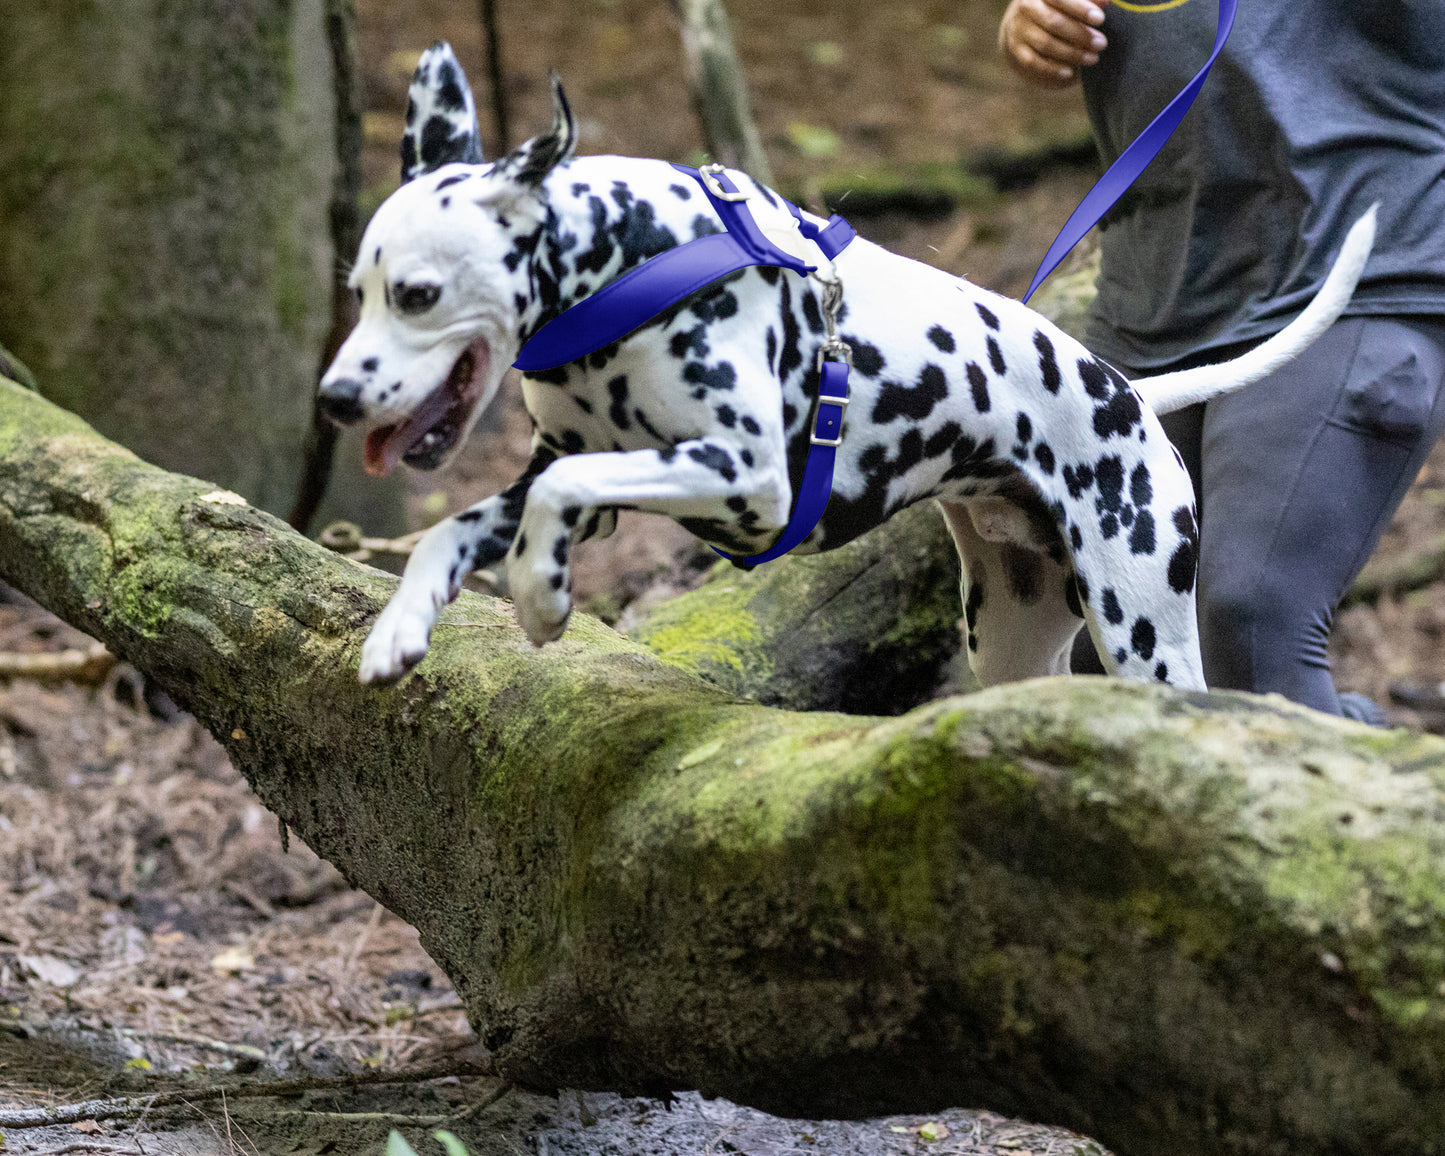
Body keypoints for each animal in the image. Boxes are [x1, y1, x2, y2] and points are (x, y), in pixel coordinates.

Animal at [325, 45, 1375, 690]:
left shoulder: (745, 477)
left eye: (416, 294)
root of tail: (1129, 392)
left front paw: (543, 601)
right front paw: (400, 628)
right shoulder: (577, 475)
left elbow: (557, 494)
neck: (631, 256)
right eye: (358, 290)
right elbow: (457, 525)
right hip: (1011, 636)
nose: (335, 398)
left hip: (1143, 628)